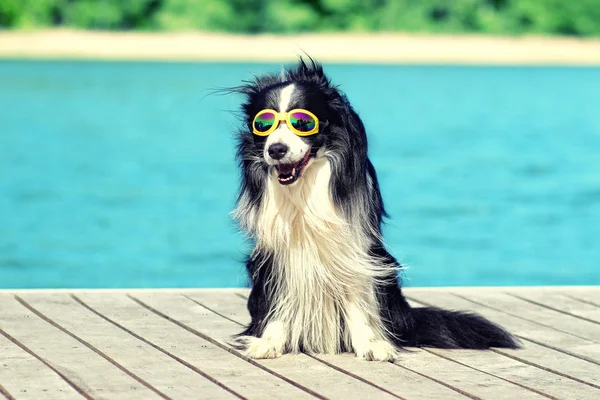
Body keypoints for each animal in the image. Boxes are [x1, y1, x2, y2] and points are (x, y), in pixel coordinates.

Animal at [230, 57, 516, 360]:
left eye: (303, 123)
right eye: (263, 124)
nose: (276, 150)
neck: (306, 184)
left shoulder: (355, 247)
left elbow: (356, 298)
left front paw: (370, 344)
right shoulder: (274, 252)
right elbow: (278, 297)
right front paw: (268, 341)